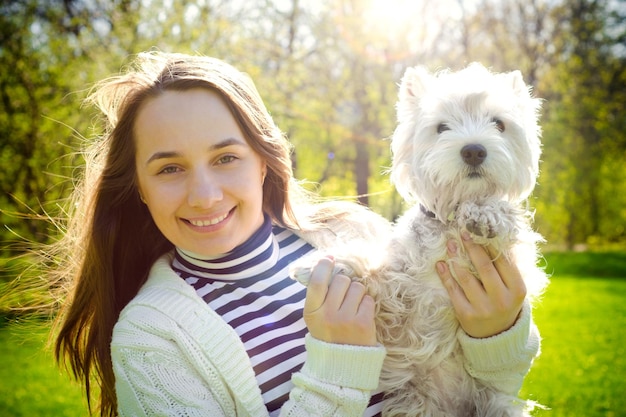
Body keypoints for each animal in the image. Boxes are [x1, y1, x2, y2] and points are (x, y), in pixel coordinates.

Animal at [290, 63, 544, 414]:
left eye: (499, 123)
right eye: (441, 127)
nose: (474, 150)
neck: (450, 219)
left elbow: (503, 220)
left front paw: (485, 215)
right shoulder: (400, 307)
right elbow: (377, 269)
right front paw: (324, 263)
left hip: (498, 404)